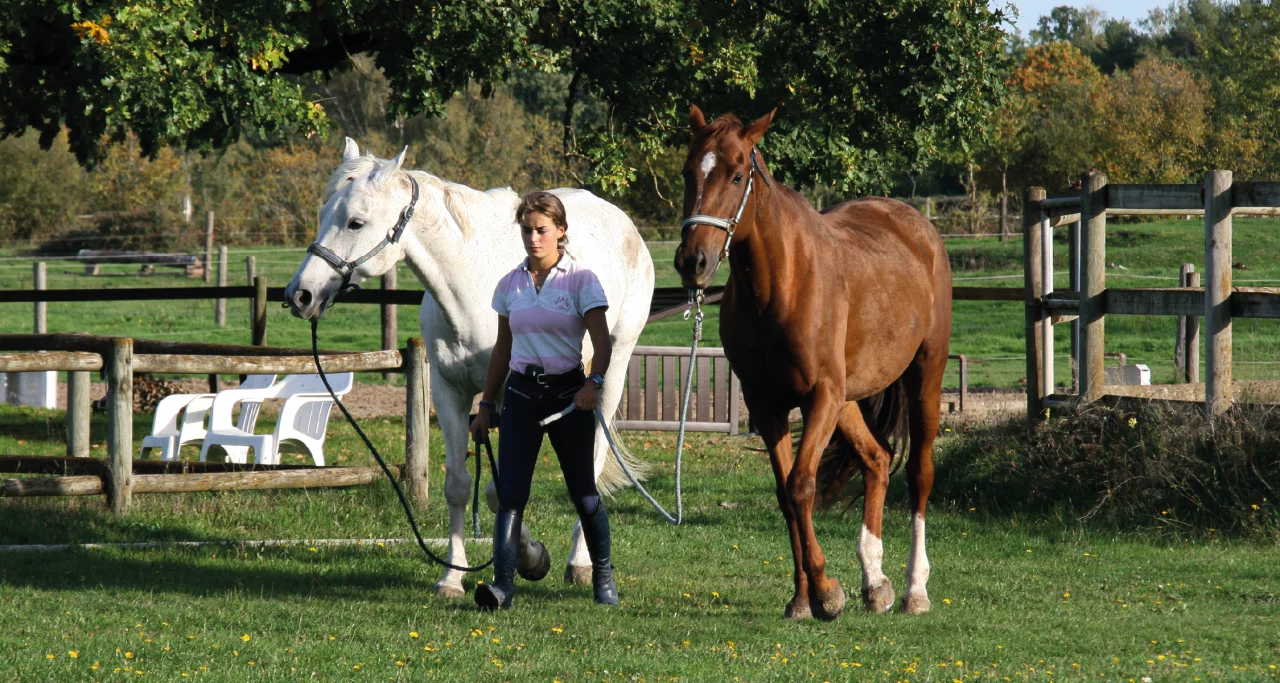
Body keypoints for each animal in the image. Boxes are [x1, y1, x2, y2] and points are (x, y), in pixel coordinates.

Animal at [285, 138, 655, 597]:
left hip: (610, 373)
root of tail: (623, 223)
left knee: (592, 464)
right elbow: (461, 486)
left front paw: (530, 555)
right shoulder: (450, 394)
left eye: (356, 222)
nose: (299, 295)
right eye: (323, 216)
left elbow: (501, 491)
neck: (470, 286)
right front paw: (452, 576)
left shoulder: (509, 399)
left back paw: (581, 563)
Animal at [673, 107, 951, 620]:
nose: (692, 261)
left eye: (737, 174)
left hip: (924, 374)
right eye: (688, 172)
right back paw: (875, 582)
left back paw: (914, 589)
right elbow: (786, 494)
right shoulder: (767, 403)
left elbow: (802, 485)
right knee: (877, 460)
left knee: (919, 474)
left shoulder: (819, 395)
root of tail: (917, 227)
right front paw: (802, 598)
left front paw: (825, 593)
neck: (781, 284)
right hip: (847, 398)